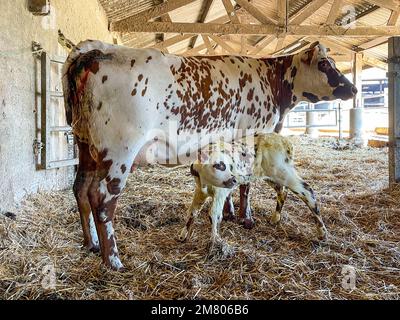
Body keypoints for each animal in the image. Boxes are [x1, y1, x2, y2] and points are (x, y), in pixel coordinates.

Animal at [178, 131, 324, 246]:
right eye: (218, 165)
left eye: (225, 164)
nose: (234, 179)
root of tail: (285, 141)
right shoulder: (199, 191)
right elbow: (192, 211)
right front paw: (183, 235)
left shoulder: (220, 192)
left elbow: (214, 214)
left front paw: (215, 240)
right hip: (272, 176)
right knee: (282, 192)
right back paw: (275, 219)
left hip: (284, 172)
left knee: (307, 191)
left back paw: (322, 233)